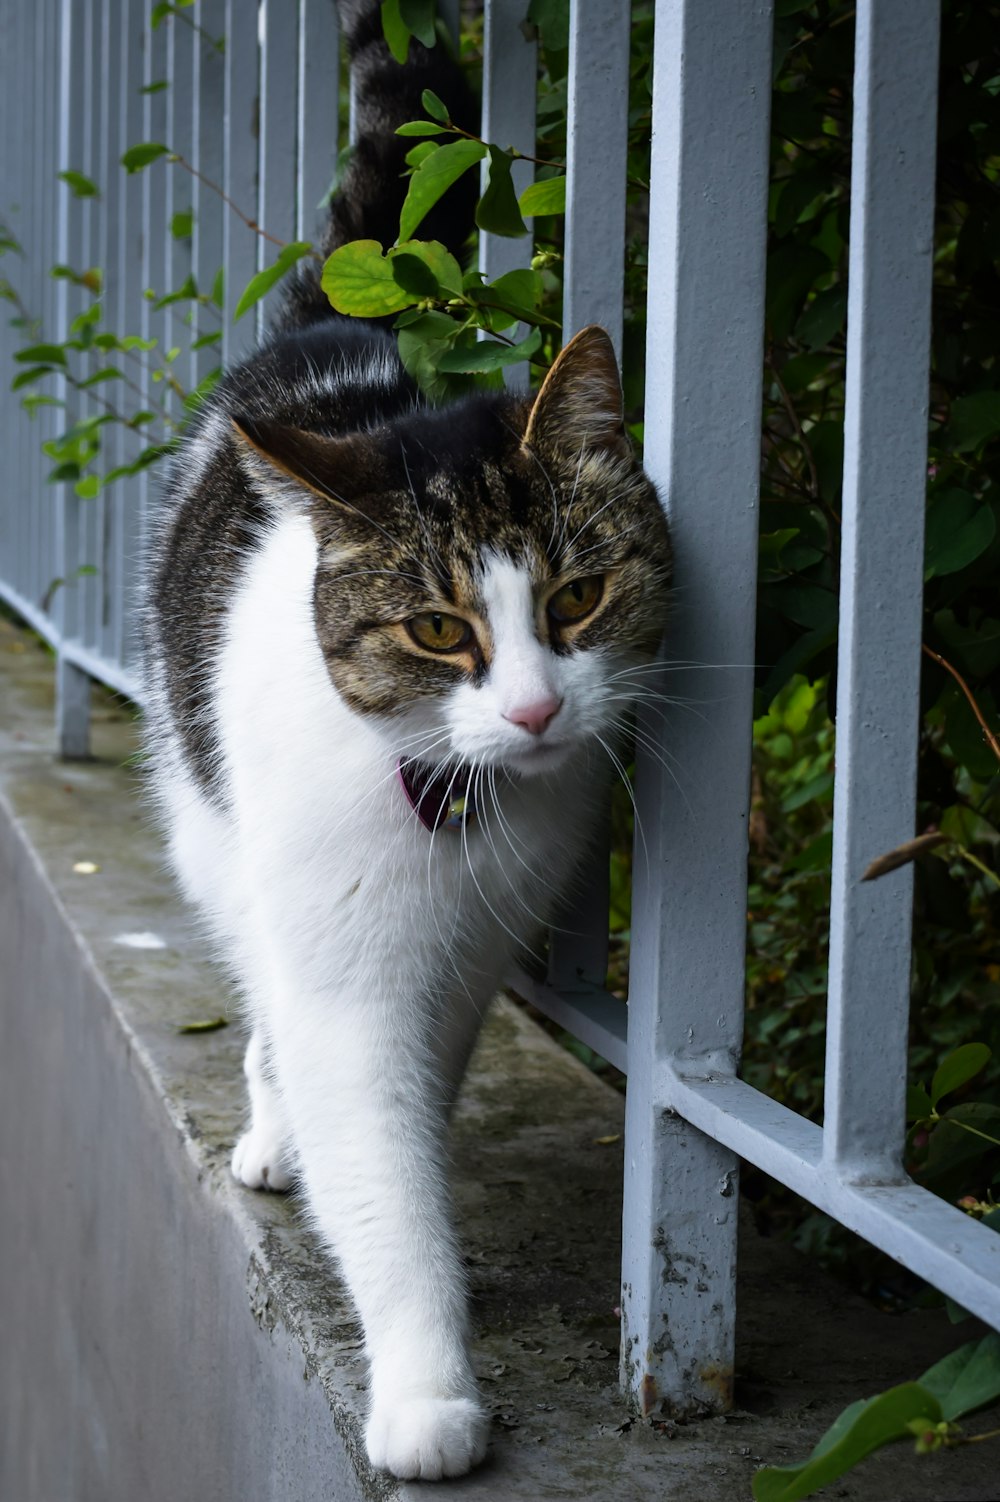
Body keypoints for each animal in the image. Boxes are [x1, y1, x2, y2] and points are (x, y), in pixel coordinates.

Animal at [141, 0, 669, 1477]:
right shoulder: (344, 970)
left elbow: (418, 1110)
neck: (451, 809)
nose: (538, 710)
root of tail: (332, 336)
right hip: (213, 828)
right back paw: (274, 1129)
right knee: (262, 987)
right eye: (439, 631)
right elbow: (375, 1162)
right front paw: (427, 1389)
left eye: (576, 599)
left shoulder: (471, 955)